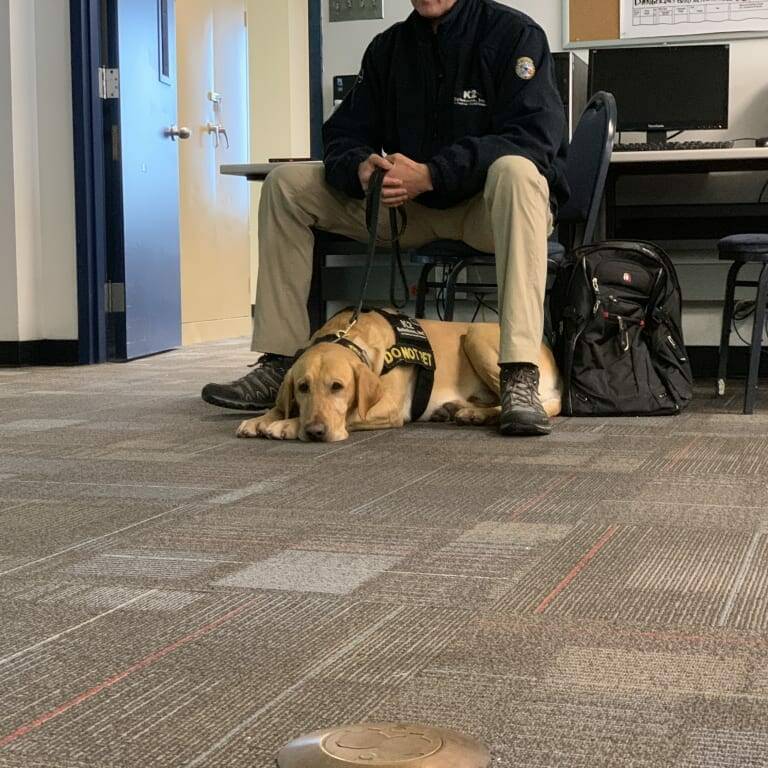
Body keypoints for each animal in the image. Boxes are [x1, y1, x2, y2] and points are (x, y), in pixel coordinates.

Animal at [237, 308, 560, 444]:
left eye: (338, 387)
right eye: (303, 387)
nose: (316, 431)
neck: (349, 336)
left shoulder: (389, 408)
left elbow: (350, 414)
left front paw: (287, 424)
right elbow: (280, 405)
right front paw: (261, 419)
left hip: (477, 335)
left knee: (538, 404)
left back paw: (475, 414)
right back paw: (457, 409)